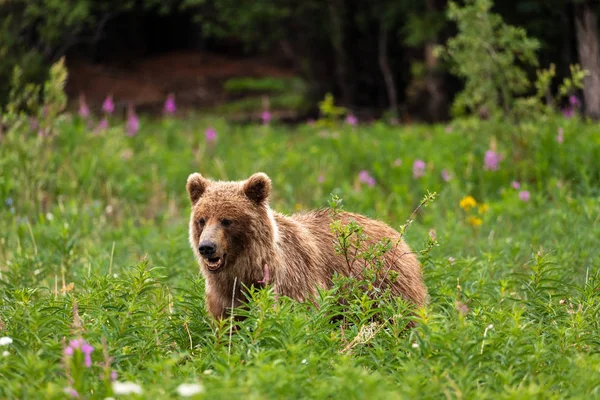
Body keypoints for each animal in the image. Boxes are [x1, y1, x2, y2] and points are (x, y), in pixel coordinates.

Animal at [188, 171, 426, 318]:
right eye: (202, 219)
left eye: (227, 220)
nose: (207, 247)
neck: (247, 269)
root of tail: (395, 234)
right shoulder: (225, 295)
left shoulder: (291, 280)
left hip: (385, 285)